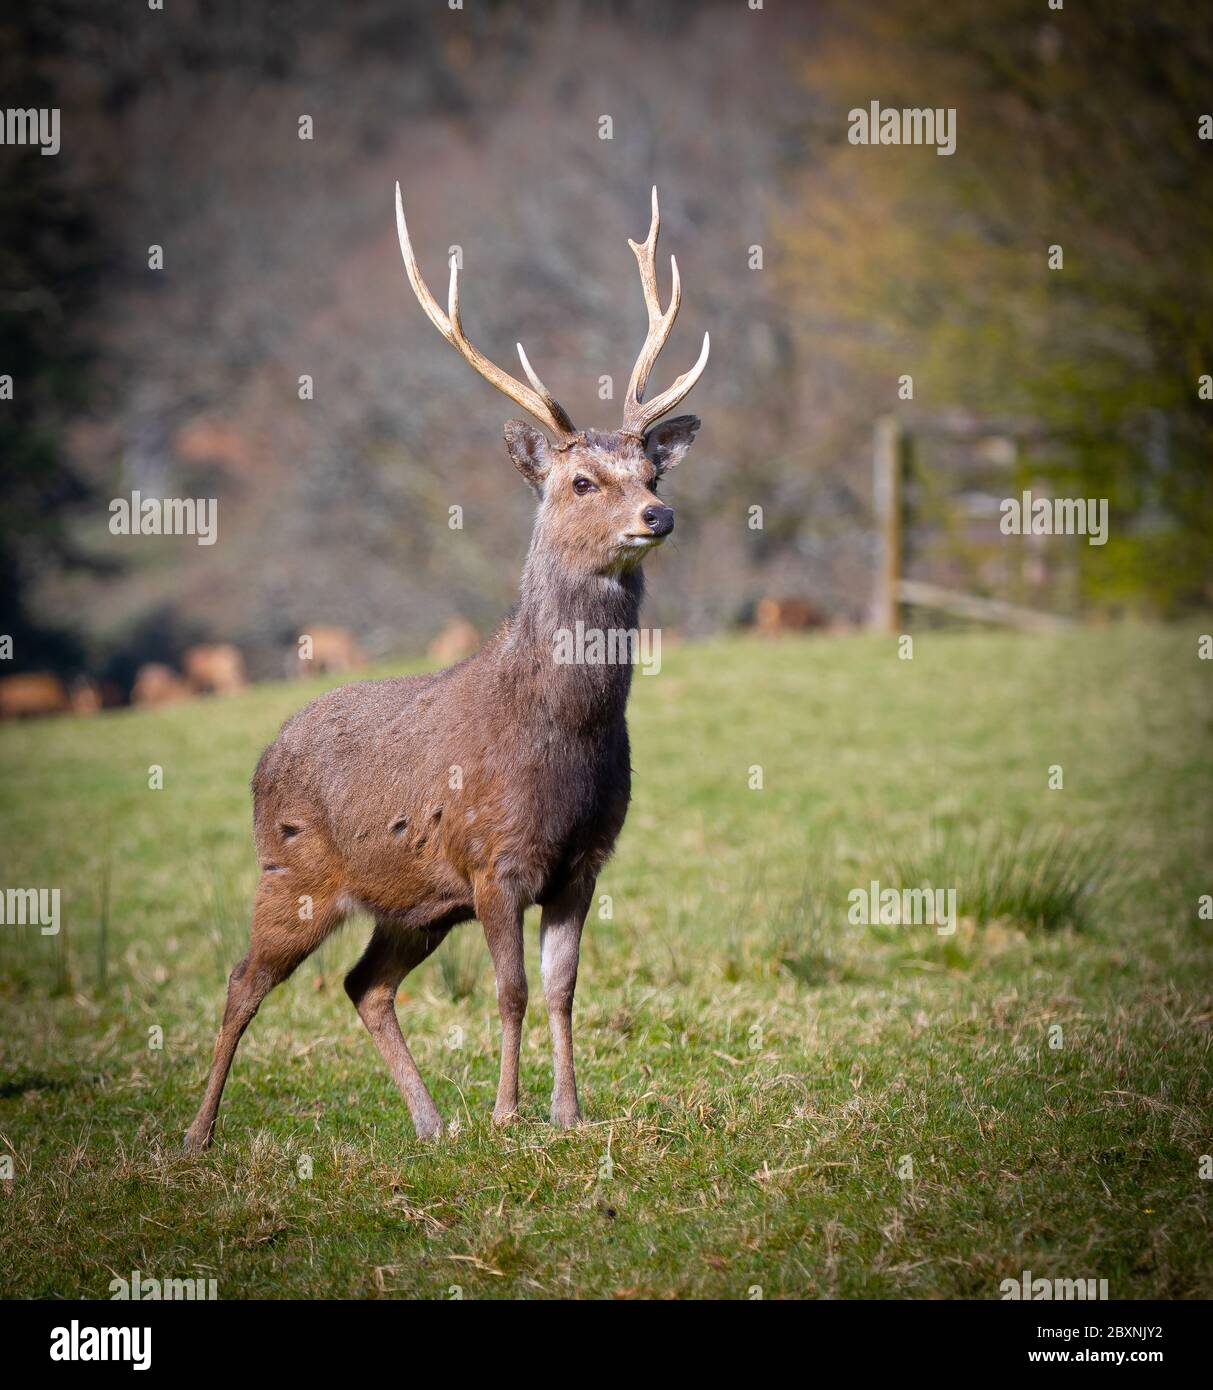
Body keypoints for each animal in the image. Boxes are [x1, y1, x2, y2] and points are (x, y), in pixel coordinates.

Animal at [183, 182, 705, 1150]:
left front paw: (567, 1113)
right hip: (293, 872)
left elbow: (564, 990)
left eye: (652, 469)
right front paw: (507, 1114)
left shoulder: (583, 862)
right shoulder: (491, 857)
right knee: (244, 980)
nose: (658, 516)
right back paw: (195, 1135)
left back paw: (430, 1123)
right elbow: (509, 991)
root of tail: (265, 753)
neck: (562, 733)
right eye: (581, 483)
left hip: (415, 904)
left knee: (363, 984)